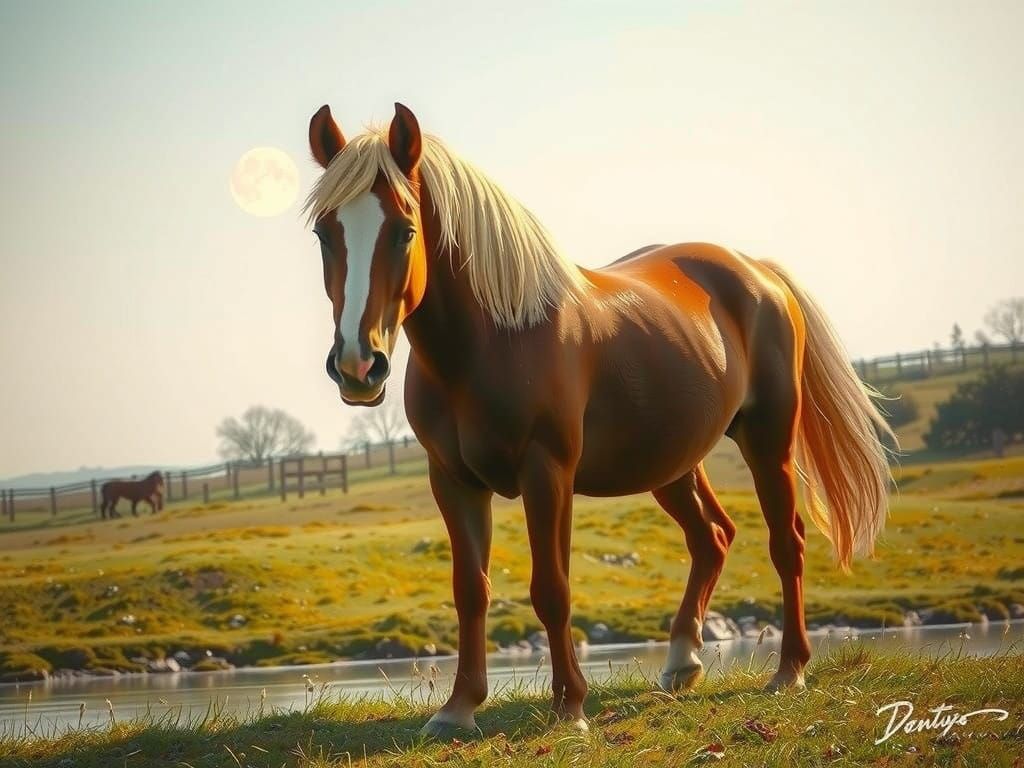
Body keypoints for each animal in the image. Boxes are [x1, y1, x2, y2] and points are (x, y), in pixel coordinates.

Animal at [303, 103, 895, 735]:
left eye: (405, 230)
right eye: (324, 233)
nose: (358, 365)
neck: (492, 341)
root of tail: (759, 272)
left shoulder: (547, 473)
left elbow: (551, 588)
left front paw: (570, 705)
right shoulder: (454, 481)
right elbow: (470, 591)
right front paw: (458, 708)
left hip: (768, 442)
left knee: (787, 543)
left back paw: (789, 670)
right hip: (672, 464)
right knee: (712, 537)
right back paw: (682, 661)